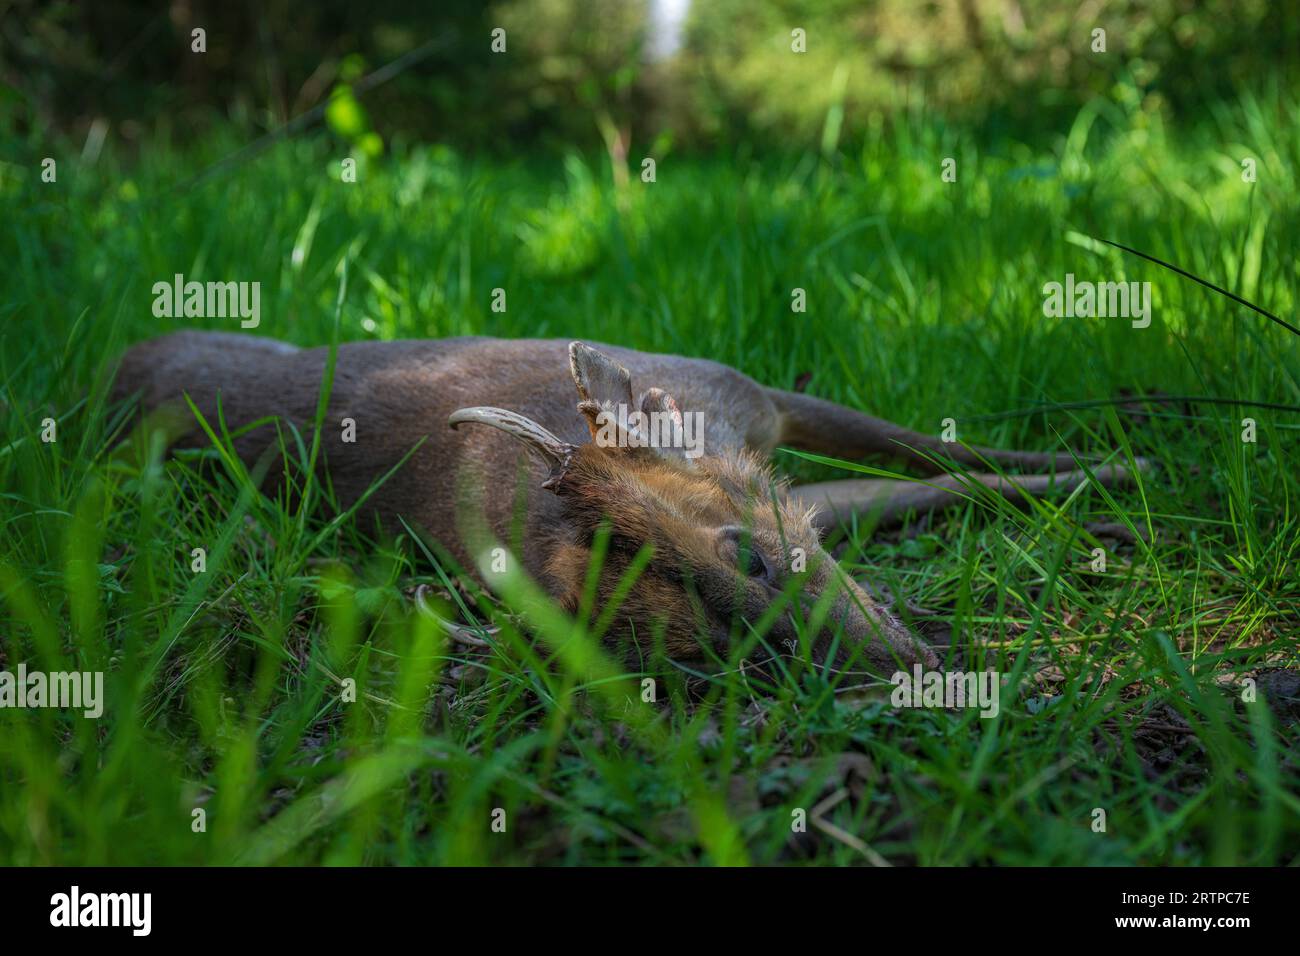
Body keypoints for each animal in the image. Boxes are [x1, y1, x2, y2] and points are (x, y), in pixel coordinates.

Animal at [114, 332, 1149, 676]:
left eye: (748, 551)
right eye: (711, 652)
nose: (913, 666)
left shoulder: (746, 396)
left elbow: (938, 455)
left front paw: (1119, 462)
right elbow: (926, 482)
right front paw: (1112, 479)